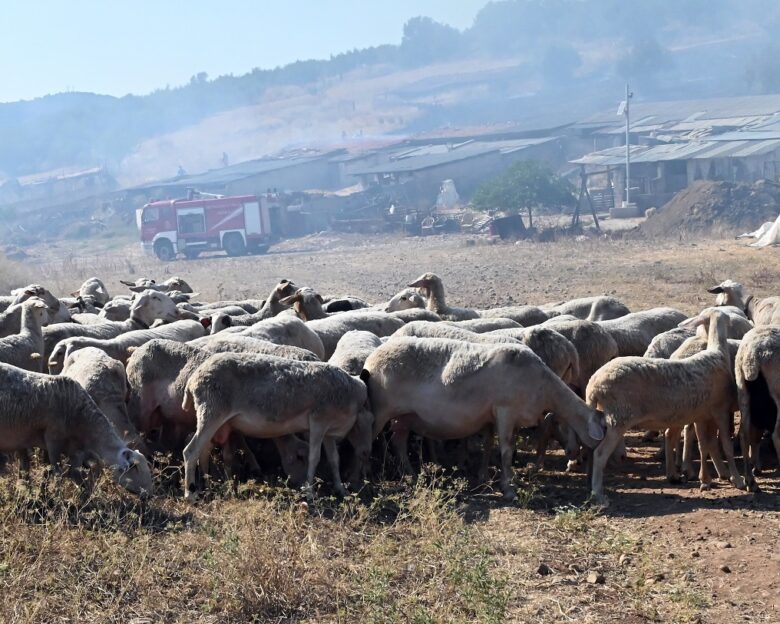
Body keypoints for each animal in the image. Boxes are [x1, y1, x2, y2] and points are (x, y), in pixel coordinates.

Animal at [0, 360, 153, 498]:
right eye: (134, 467)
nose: (150, 495)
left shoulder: (75, 450)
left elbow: (74, 474)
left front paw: (86, 496)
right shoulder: (52, 439)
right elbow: (57, 472)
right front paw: (56, 497)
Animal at [181, 354, 370, 500]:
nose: (365, 453)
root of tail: (193, 380)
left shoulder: (328, 430)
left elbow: (334, 460)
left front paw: (341, 489)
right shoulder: (318, 421)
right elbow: (314, 457)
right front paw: (310, 492)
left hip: (215, 418)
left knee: (204, 450)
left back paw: (206, 485)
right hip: (212, 411)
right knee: (191, 451)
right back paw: (190, 493)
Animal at [362, 336, 608, 498]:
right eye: (601, 432)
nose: (579, 459)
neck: (543, 387)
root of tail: (371, 359)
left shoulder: (498, 417)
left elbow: (491, 445)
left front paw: (489, 476)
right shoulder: (505, 411)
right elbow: (506, 450)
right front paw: (508, 488)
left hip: (404, 416)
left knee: (399, 442)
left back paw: (411, 475)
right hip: (382, 409)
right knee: (369, 442)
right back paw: (367, 480)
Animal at [588, 308, 748, 508]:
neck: (717, 353)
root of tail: (593, 385)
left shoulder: (702, 415)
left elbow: (705, 444)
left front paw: (706, 479)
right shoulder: (721, 411)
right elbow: (725, 444)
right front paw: (738, 479)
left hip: (604, 417)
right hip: (618, 418)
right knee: (600, 454)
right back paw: (598, 494)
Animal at [736, 324, 780, 490]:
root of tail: (753, 356)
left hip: (743, 392)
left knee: (744, 434)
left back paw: (751, 481)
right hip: (777, 393)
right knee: (776, 434)